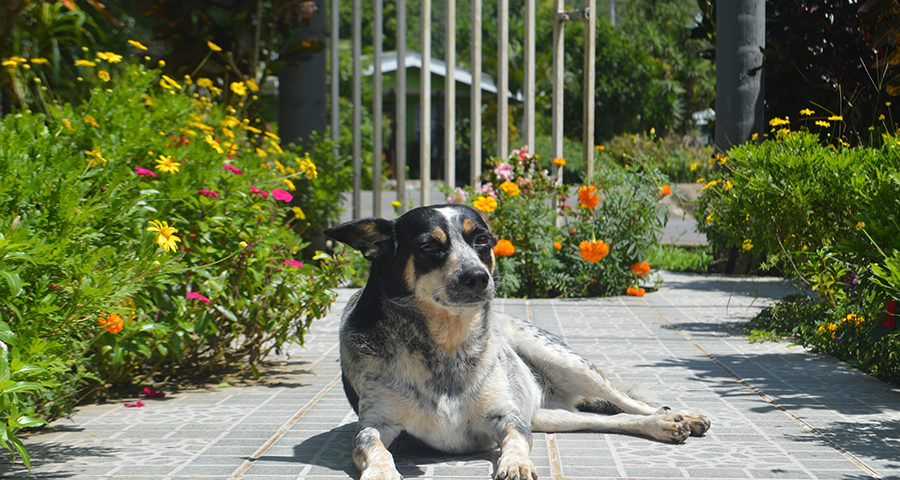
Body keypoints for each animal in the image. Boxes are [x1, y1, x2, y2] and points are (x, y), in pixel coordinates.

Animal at [324, 204, 712, 480]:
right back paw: (663, 425)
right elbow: (372, 446)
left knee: (630, 402)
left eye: (482, 240)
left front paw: (515, 464)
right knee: (610, 420)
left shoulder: (509, 418)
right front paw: (381, 471)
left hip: (562, 360)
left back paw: (676, 416)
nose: (478, 277)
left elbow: (515, 439)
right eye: (429, 246)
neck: (446, 344)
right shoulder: (376, 422)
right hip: (550, 417)